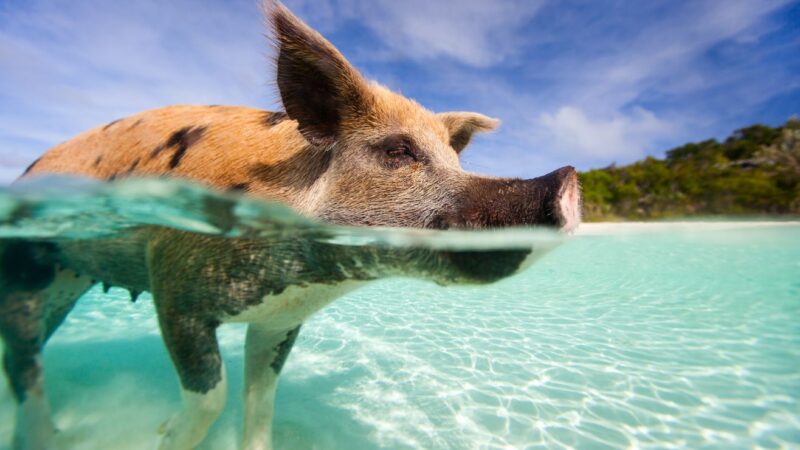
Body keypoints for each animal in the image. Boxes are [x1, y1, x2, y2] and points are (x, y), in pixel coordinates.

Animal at [0, 3, 580, 450]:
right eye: (398, 151)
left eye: (455, 162)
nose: (566, 179)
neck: (312, 274)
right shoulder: (172, 287)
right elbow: (211, 396)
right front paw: (162, 433)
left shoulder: (279, 319)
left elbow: (261, 401)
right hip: (27, 267)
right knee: (25, 359)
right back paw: (51, 437)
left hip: (68, 280)